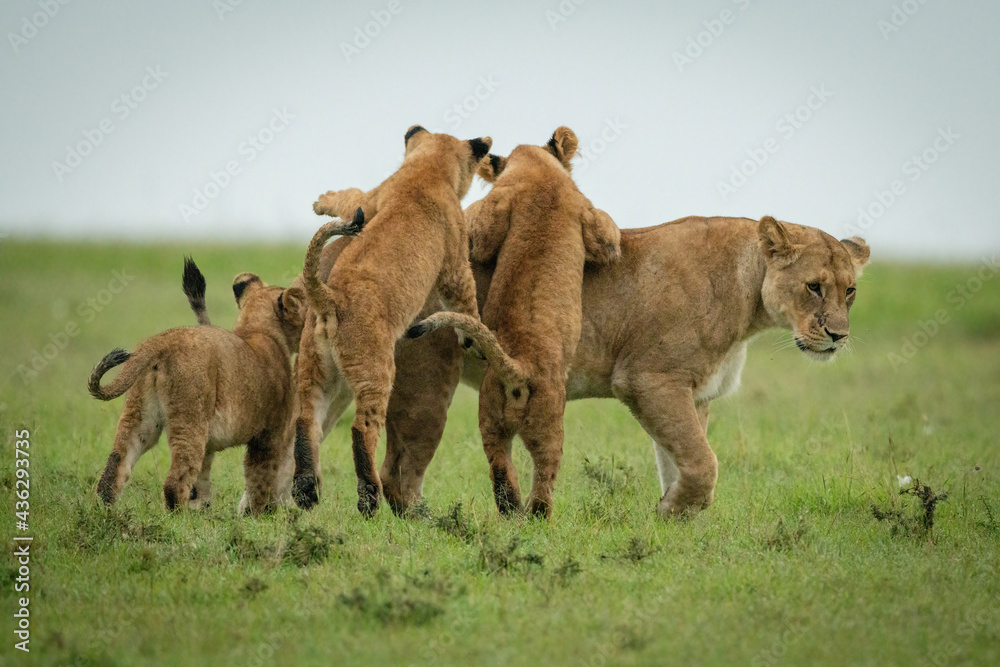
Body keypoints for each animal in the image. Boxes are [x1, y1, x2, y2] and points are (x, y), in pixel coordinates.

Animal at [88, 261, 307, 514]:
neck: (259, 331)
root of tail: (159, 342)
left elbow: (203, 475)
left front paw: (204, 506)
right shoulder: (268, 434)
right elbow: (259, 480)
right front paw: (257, 516)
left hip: (140, 417)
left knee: (116, 465)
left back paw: (103, 510)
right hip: (191, 418)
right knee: (175, 481)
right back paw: (181, 518)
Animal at [301, 126, 492, 516]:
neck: (426, 170)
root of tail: (330, 298)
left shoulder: (372, 200)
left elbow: (352, 199)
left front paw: (322, 201)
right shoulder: (454, 254)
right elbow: (465, 299)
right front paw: (474, 339)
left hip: (316, 365)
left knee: (306, 421)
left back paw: (307, 491)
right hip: (377, 368)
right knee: (362, 429)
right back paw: (368, 499)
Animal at [405, 127, 622, 518]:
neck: (538, 172)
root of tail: (518, 368)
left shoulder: (497, 210)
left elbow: (479, 235)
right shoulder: (587, 215)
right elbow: (609, 237)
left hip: (490, 418)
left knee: (500, 471)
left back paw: (511, 511)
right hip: (549, 424)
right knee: (544, 478)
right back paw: (536, 517)